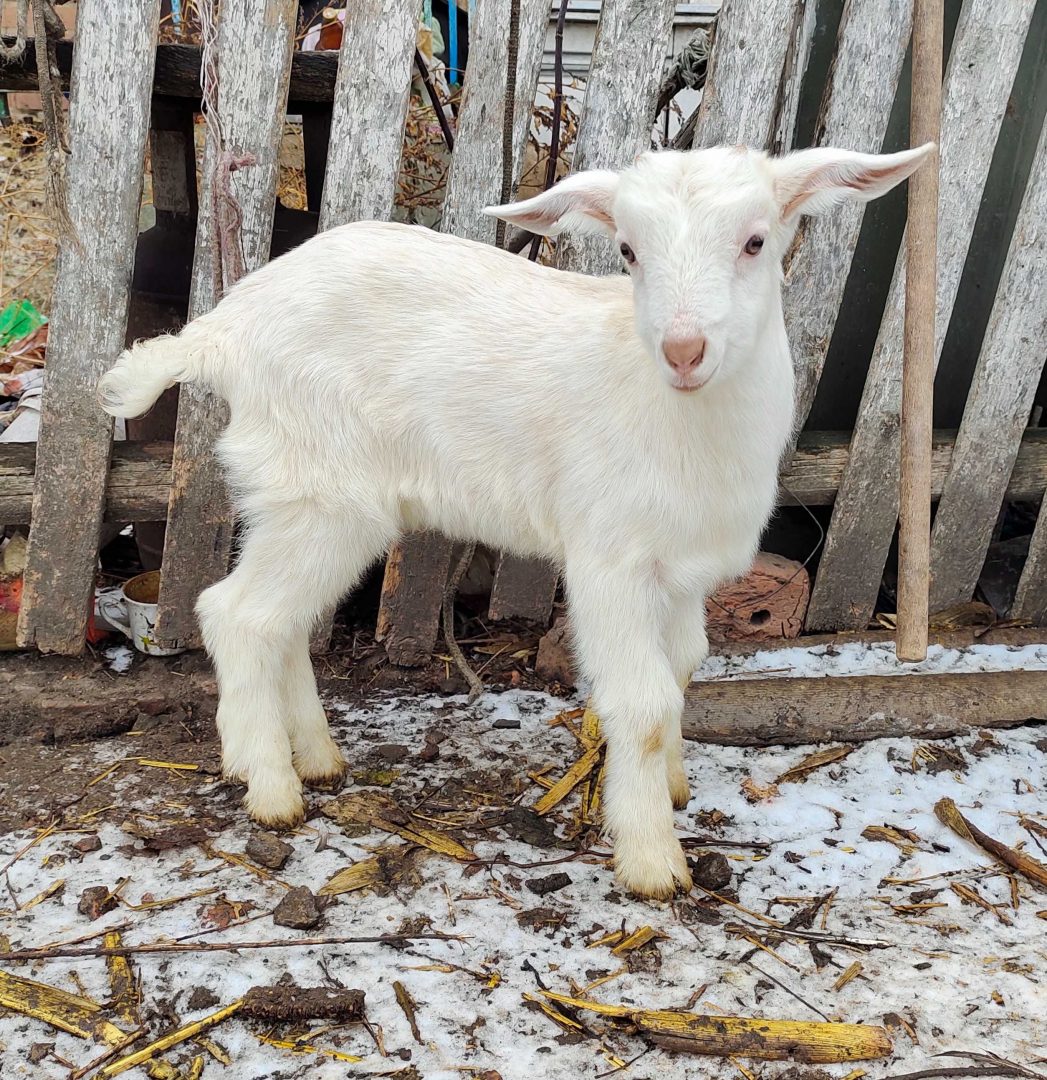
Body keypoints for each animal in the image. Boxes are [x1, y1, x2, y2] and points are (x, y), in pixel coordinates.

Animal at [98, 145, 933, 902]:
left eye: (756, 241)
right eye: (628, 251)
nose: (683, 350)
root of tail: (221, 332)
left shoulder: (681, 571)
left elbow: (684, 668)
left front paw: (673, 790)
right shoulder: (609, 559)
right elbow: (644, 703)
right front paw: (652, 862)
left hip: (309, 504)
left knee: (282, 621)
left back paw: (314, 758)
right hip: (319, 494)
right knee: (236, 613)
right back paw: (271, 788)